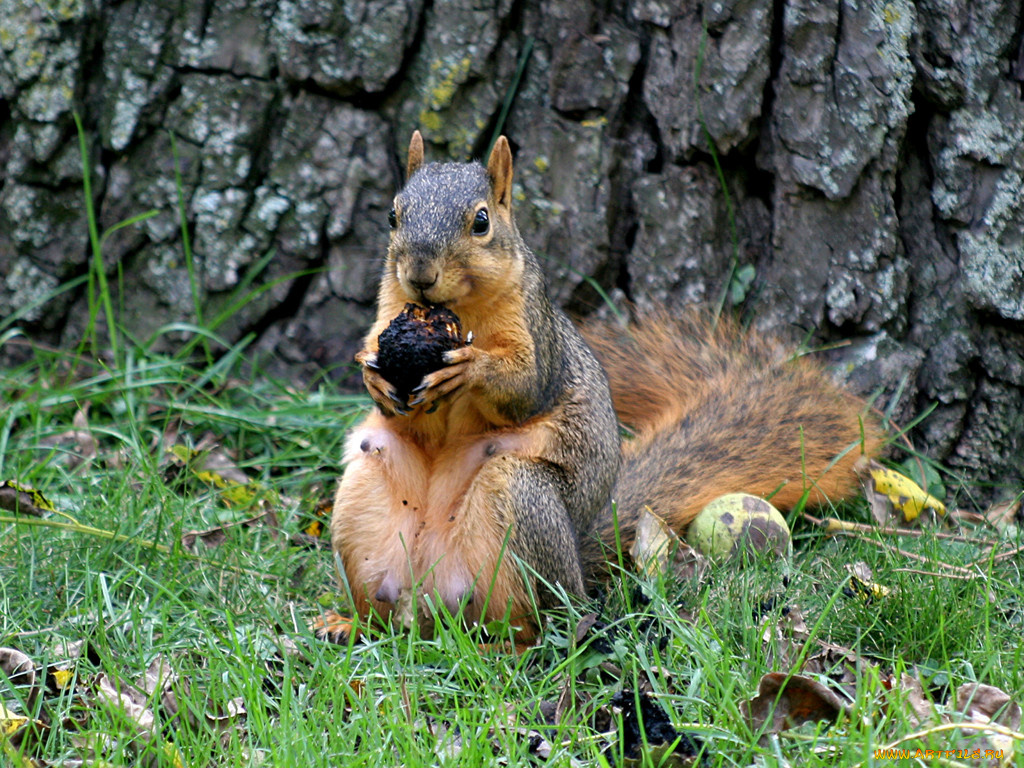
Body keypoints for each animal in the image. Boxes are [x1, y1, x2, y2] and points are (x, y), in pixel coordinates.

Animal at [325, 132, 880, 643]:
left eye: (481, 222)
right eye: (393, 215)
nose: (419, 273)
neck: (455, 311)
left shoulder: (537, 333)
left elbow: (525, 388)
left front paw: (470, 368)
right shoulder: (389, 306)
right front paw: (371, 374)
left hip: (521, 500)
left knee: (537, 621)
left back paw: (511, 645)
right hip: (363, 500)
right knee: (386, 612)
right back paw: (346, 623)